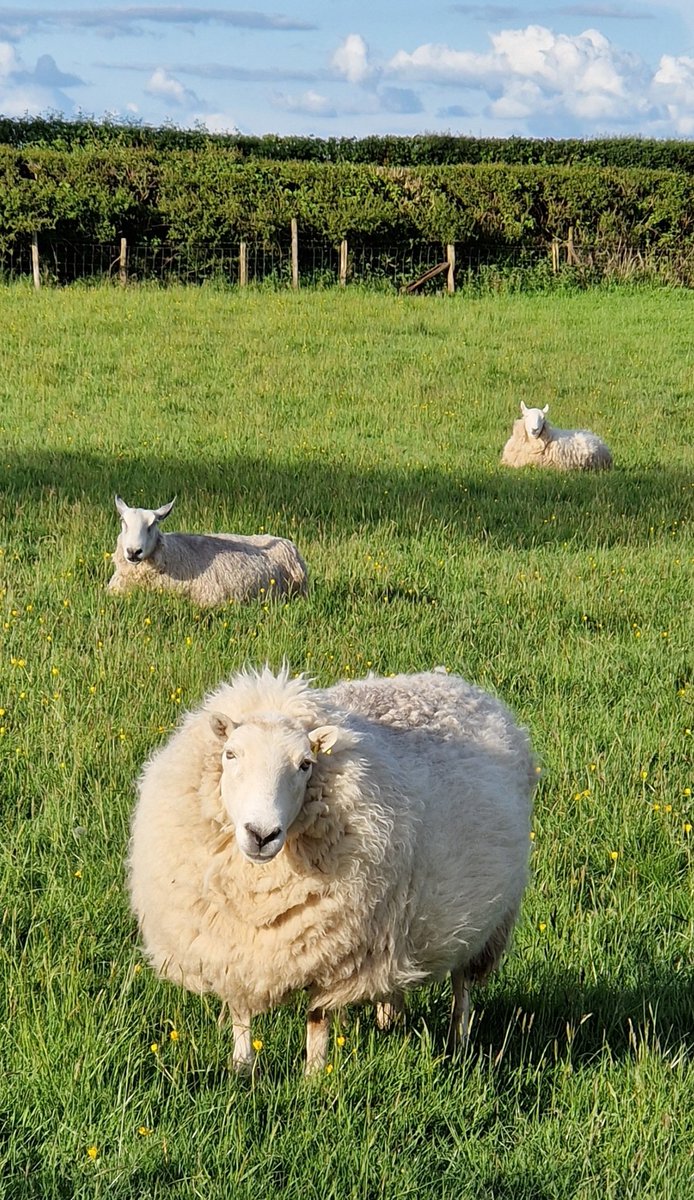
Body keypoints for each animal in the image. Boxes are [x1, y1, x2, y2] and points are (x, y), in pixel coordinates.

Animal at [127, 672, 533, 1075]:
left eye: (305, 764)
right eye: (231, 754)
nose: (262, 834)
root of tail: (457, 683)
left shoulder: (334, 953)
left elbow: (317, 1018)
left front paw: (313, 1075)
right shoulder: (233, 946)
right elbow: (241, 1011)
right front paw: (242, 1068)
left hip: (482, 922)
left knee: (462, 985)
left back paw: (458, 1040)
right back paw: (390, 1020)